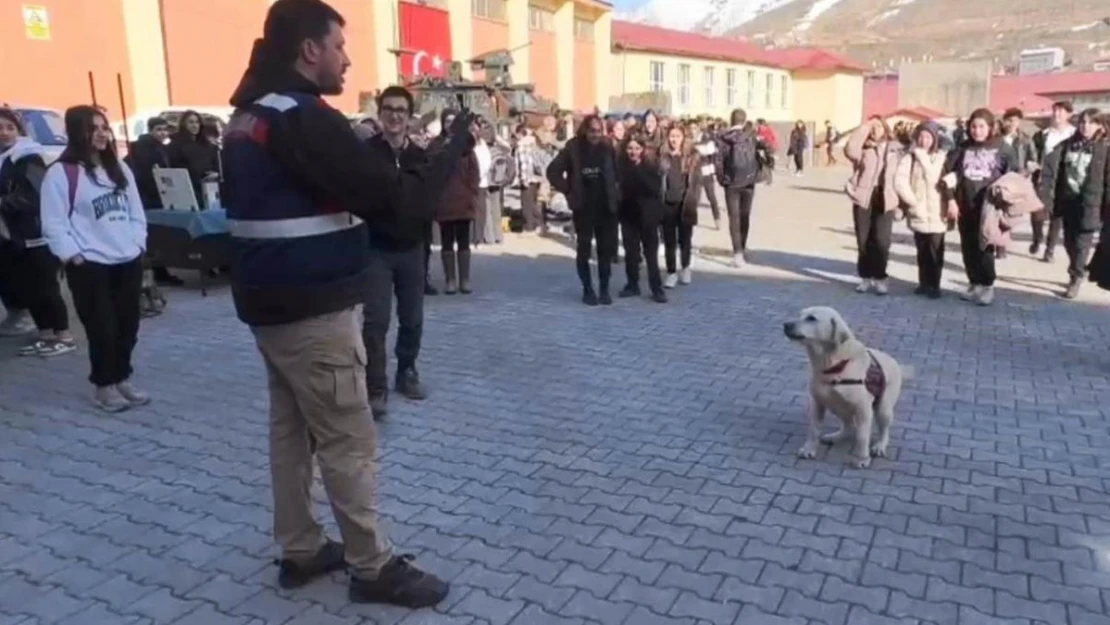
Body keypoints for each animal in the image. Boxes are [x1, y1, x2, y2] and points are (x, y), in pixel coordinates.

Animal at [785, 306, 905, 466]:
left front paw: (861, 458)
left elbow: (862, 436)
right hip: (836, 405)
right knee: (848, 425)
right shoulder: (817, 402)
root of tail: (894, 361)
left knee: (883, 429)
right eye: (799, 315)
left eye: (811, 318)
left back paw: (879, 446)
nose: (786, 324)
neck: (834, 365)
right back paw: (835, 436)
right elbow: (814, 429)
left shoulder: (863, 409)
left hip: (883, 408)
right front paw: (809, 449)